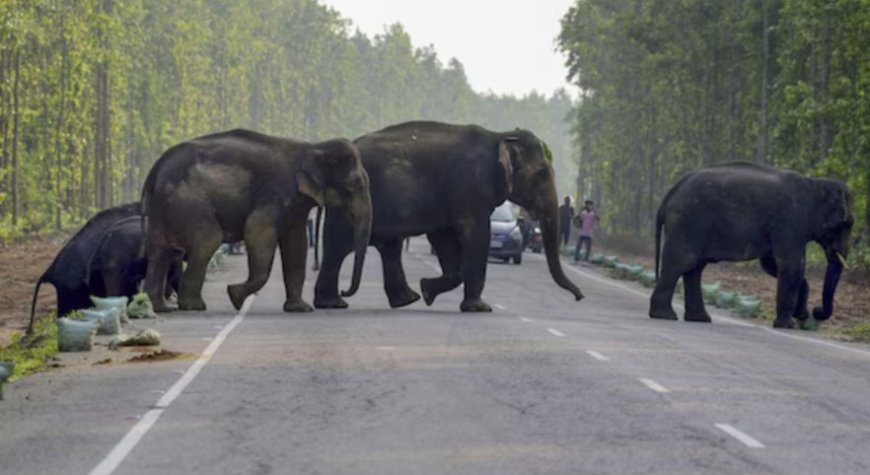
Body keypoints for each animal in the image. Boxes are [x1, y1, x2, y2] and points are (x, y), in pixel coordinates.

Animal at [141, 128, 372, 314]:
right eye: (352, 187)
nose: (344, 291)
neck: (313, 148)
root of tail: (155, 170)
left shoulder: (296, 202)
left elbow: (296, 244)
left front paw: (301, 309)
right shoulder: (276, 191)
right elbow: (258, 232)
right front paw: (234, 295)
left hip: (165, 210)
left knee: (162, 252)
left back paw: (161, 308)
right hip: (187, 201)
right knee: (207, 240)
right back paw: (194, 307)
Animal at [314, 120, 584, 312]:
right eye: (542, 174)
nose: (579, 297)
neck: (500, 135)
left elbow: (444, 239)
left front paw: (427, 290)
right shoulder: (471, 189)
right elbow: (478, 236)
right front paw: (479, 308)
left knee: (386, 247)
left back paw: (406, 299)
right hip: (350, 201)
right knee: (340, 246)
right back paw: (335, 303)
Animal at [652, 162, 856, 330]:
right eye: (846, 224)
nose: (815, 311)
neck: (814, 184)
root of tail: (670, 193)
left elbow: (771, 265)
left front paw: (800, 315)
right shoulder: (791, 220)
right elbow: (791, 264)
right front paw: (787, 325)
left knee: (694, 268)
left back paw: (699, 319)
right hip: (688, 220)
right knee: (682, 262)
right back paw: (665, 316)